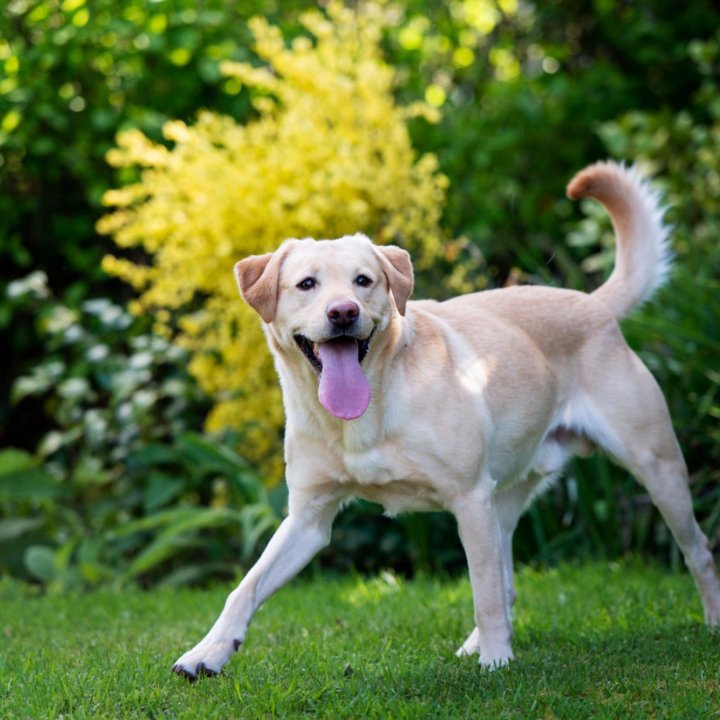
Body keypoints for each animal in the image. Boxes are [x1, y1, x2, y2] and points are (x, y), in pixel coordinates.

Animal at [173, 162, 720, 680]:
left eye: (363, 281)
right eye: (306, 284)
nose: (344, 312)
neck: (369, 409)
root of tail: (591, 302)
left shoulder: (469, 499)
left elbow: (484, 594)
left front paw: (497, 663)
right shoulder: (309, 518)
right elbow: (245, 587)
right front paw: (207, 653)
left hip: (656, 469)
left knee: (697, 551)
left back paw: (709, 622)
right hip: (505, 501)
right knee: (507, 580)